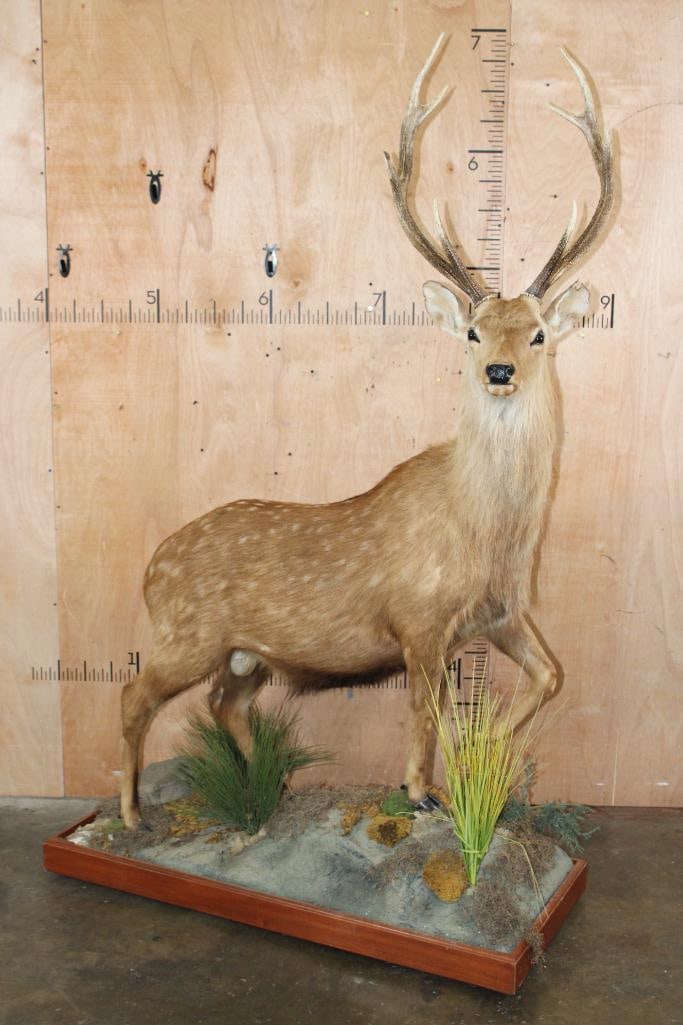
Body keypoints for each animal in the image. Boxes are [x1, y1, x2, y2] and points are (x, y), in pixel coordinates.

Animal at [120, 35, 614, 829]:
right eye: (473, 331)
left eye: (538, 333)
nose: (499, 369)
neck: (492, 539)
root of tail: (149, 568)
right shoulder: (419, 619)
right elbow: (423, 714)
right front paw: (421, 789)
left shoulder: (504, 614)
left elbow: (547, 678)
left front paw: (482, 754)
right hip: (185, 635)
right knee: (134, 694)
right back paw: (134, 813)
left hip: (243, 655)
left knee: (222, 702)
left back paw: (267, 791)